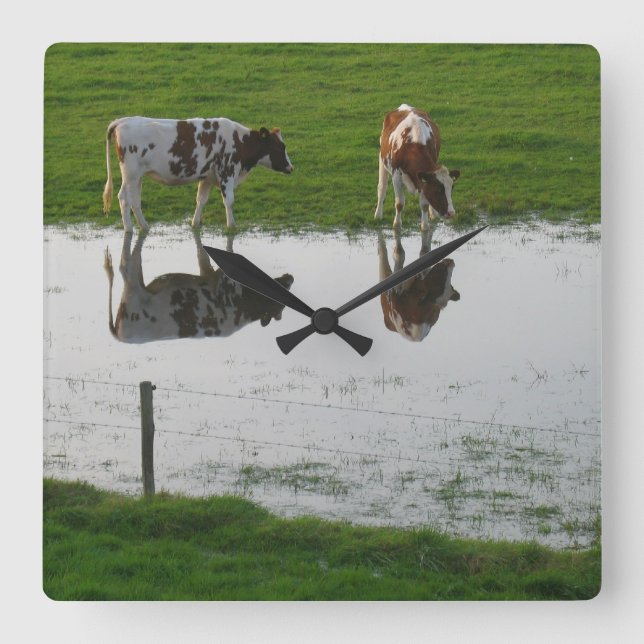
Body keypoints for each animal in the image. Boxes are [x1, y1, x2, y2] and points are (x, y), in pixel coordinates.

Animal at [102, 116, 294, 232]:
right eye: (280, 147)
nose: (291, 168)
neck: (239, 141)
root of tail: (122, 121)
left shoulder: (207, 178)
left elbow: (201, 200)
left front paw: (195, 223)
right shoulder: (227, 173)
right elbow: (229, 201)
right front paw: (231, 225)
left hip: (138, 177)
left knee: (135, 200)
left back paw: (144, 226)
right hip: (130, 175)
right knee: (123, 198)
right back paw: (129, 229)